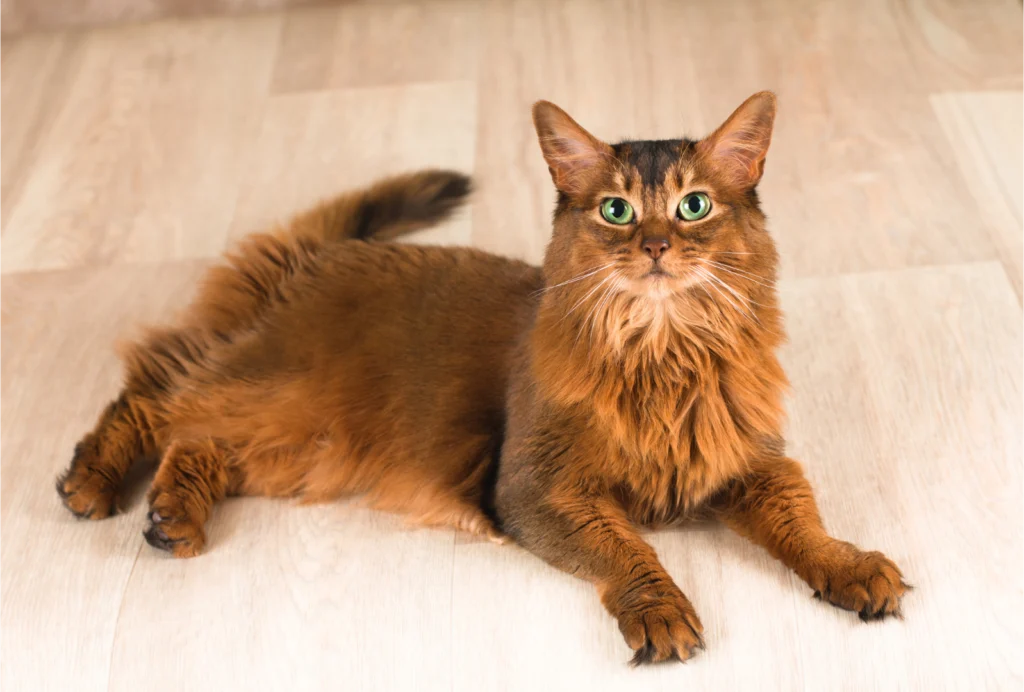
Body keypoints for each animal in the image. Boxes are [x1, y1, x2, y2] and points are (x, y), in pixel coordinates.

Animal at [58, 92, 905, 663]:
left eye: (694, 206)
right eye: (618, 211)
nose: (658, 246)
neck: (662, 356)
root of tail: (317, 256)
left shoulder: (751, 464)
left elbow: (805, 525)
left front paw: (850, 567)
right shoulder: (536, 489)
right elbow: (631, 549)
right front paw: (659, 611)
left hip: (301, 445)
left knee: (198, 438)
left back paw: (172, 516)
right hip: (284, 393)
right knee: (156, 395)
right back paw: (93, 484)